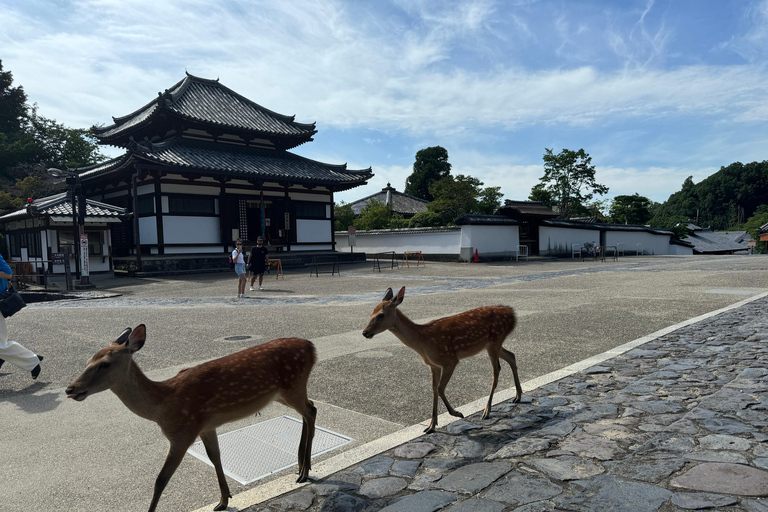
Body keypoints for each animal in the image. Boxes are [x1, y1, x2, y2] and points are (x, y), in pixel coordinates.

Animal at [66, 326, 316, 510]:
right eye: (87, 361)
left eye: (105, 363)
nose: (70, 389)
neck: (162, 407)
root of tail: (312, 347)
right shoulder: (205, 426)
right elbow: (215, 457)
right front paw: (223, 500)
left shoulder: (182, 433)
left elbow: (160, 480)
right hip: (283, 393)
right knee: (309, 408)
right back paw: (301, 467)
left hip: (293, 385)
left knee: (311, 411)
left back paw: (305, 471)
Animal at [362, 286, 520, 434]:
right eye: (371, 313)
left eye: (380, 315)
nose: (365, 332)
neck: (423, 342)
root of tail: (512, 314)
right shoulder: (433, 365)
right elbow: (433, 389)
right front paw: (431, 426)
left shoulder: (450, 360)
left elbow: (440, 388)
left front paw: (457, 413)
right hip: (491, 344)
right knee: (511, 355)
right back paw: (517, 396)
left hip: (494, 341)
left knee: (496, 370)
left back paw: (487, 411)